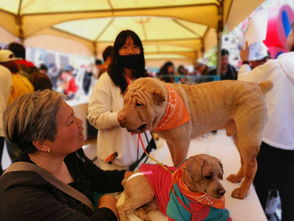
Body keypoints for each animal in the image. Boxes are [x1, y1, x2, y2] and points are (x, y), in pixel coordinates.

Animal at [117, 77, 274, 199]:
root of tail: (257, 86)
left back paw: (242, 191)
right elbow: (174, 161)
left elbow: (179, 162)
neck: (167, 108)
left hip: (248, 137)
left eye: (139, 104)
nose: (119, 119)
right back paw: (237, 178)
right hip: (239, 136)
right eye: (124, 101)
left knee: (252, 166)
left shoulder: (181, 143)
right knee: (244, 161)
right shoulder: (171, 142)